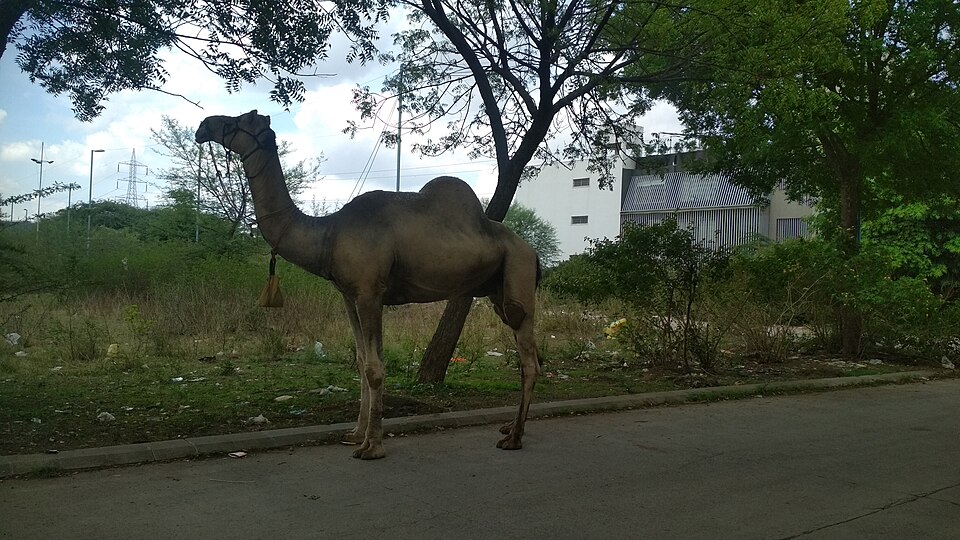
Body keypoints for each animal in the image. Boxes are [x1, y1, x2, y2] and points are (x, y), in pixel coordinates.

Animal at [195, 110, 541, 459]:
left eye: (240, 120)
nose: (203, 126)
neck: (329, 234)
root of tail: (533, 251)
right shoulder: (349, 296)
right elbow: (361, 363)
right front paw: (355, 433)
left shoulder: (370, 292)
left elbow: (375, 368)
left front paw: (372, 445)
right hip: (498, 292)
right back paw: (510, 427)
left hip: (518, 277)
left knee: (529, 359)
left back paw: (514, 437)